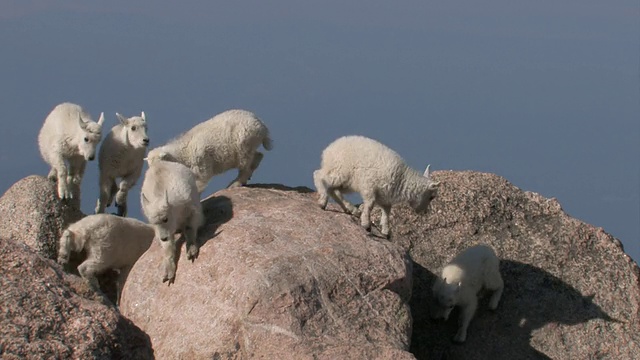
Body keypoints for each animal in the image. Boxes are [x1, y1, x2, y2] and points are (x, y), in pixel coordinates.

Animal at [312, 135, 440, 239]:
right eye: (431, 197)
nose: (423, 212)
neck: (402, 179)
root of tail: (328, 150)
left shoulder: (384, 196)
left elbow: (386, 213)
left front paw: (385, 231)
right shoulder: (369, 187)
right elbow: (370, 205)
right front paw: (366, 224)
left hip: (346, 182)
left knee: (333, 190)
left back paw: (351, 209)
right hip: (340, 171)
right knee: (319, 175)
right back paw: (322, 202)